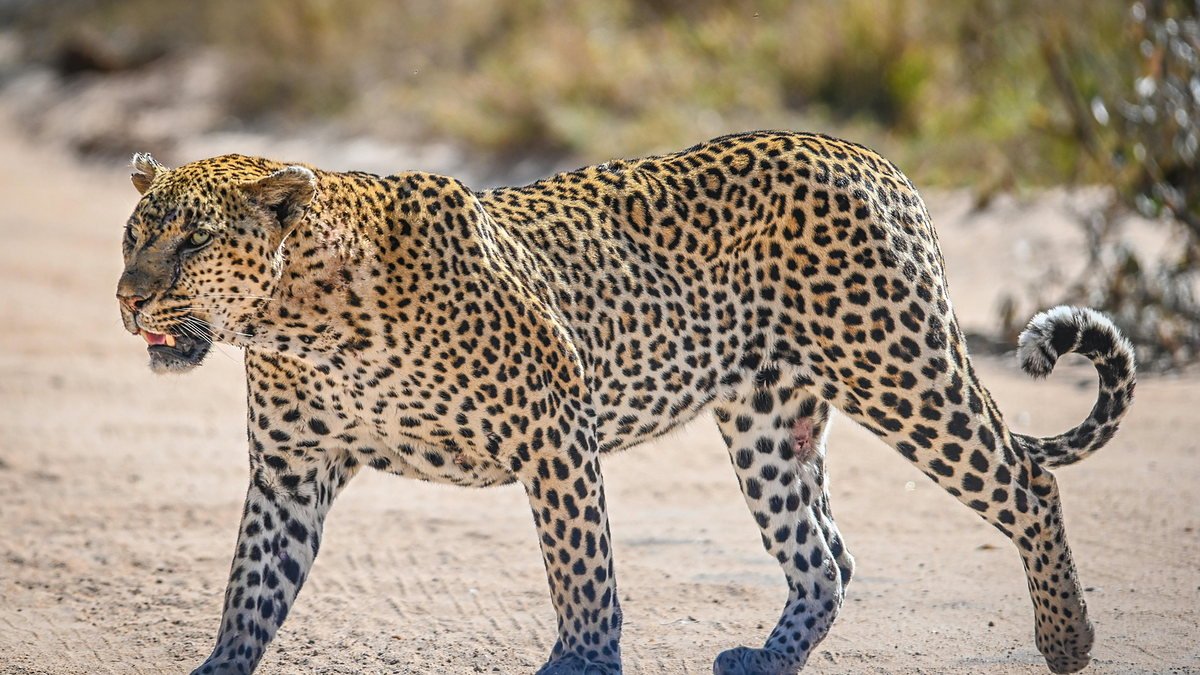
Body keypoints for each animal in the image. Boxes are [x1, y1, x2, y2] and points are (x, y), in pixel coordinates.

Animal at [116, 130, 1136, 675]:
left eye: (190, 240)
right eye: (133, 236)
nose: (125, 299)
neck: (300, 320)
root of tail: (873, 159)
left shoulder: (553, 428)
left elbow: (584, 570)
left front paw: (582, 662)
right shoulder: (291, 470)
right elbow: (251, 588)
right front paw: (220, 664)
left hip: (897, 364)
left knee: (1026, 484)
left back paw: (1067, 636)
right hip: (767, 422)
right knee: (825, 556)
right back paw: (767, 657)